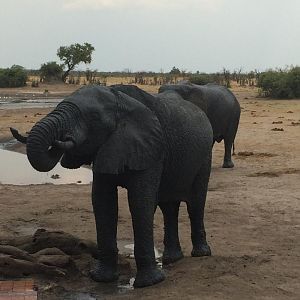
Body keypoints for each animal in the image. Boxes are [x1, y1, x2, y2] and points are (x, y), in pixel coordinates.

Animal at [10, 84, 213, 288]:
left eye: (93, 117)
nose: (63, 137)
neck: (120, 102)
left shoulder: (152, 149)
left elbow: (140, 202)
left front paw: (149, 283)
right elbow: (103, 202)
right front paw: (102, 278)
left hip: (205, 155)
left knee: (195, 202)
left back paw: (201, 254)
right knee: (169, 206)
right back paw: (172, 259)